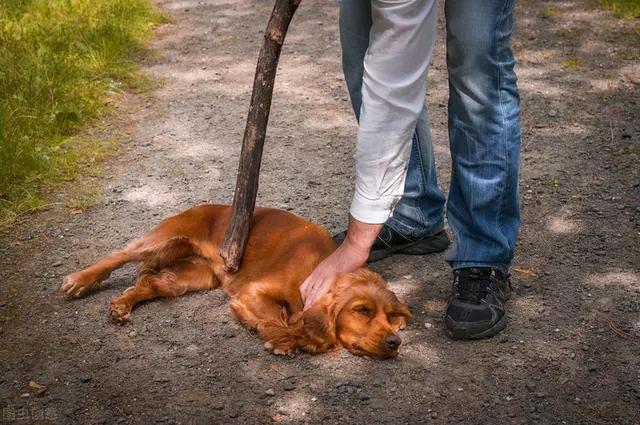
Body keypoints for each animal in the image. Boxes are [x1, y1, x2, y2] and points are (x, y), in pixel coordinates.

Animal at [60, 204, 410, 356]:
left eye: (389, 317)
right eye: (362, 310)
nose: (396, 343)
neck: (319, 265)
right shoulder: (253, 291)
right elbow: (281, 320)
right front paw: (286, 339)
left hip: (193, 277)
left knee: (151, 284)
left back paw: (121, 305)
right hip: (166, 236)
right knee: (118, 255)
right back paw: (80, 280)